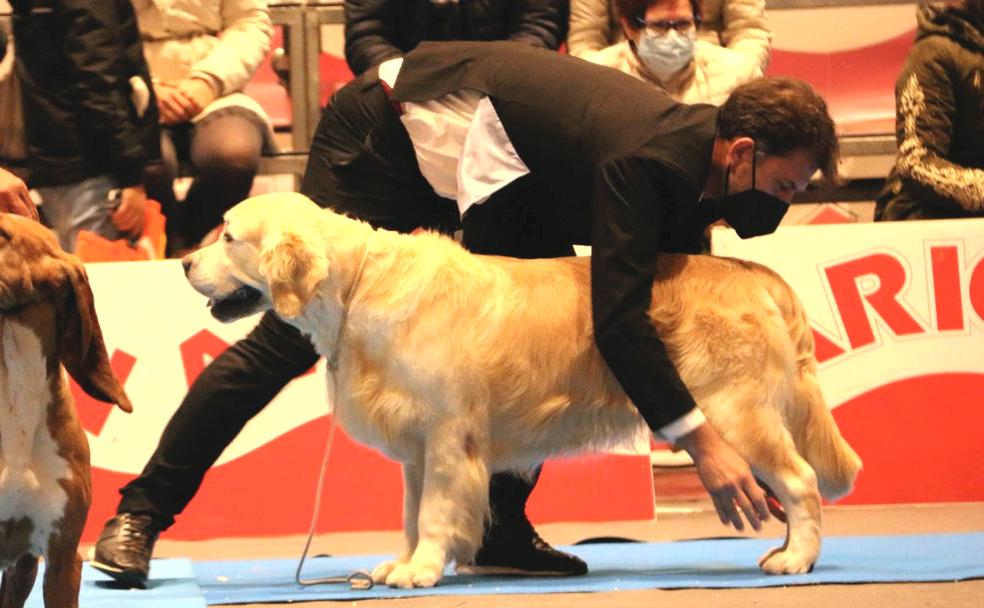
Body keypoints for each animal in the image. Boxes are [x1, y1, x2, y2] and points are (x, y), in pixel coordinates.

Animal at [183, 192, 860, 588]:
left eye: (227, 236)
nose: (184, 262)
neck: (360, 288)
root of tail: (756, 272)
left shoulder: (448, 433)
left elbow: (433, 512)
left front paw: (422, 570)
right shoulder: (417, 445)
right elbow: (409, 512)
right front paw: (401, 562)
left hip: (734, 412)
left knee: (800, 481)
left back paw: (796, 559)